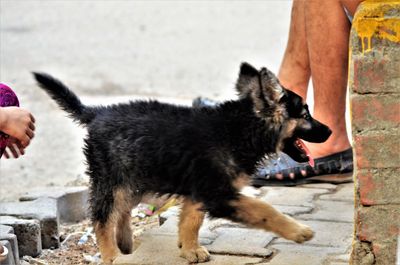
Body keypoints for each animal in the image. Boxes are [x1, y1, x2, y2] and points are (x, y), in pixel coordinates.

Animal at [33, 63, 332, 262]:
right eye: (306, 114)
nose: (329, 131)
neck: (239, 130)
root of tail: (97, 113)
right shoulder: (217, 193)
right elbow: (263, 208)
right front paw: (298, 231)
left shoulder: (199, 189)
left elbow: (191, 220)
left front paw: (190, 249)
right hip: (112, 178)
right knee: (103, 218)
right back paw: (112, 255)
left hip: (137, 175)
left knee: (122, 210)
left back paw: (126, 242)